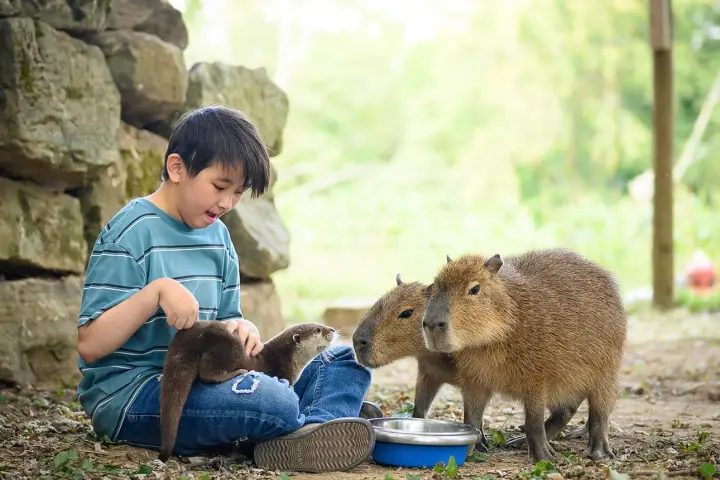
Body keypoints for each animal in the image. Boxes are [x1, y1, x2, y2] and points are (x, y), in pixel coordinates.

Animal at [158, 321, 337, 462]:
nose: (332, 329)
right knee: (208, 372)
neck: (285, 359)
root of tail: (195, 335)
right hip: (229, 346)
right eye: (318, 330)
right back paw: (237, 372)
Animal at [421, 248, 626, 462]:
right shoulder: (473, 380)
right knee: (566, 410)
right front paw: (476, 445)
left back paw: (598, 451)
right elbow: (471, 418)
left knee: (599, 414)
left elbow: (533, 421)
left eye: (475, 289)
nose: (432, 324)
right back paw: (517, 441)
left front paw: (544, 457)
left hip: (606, 373)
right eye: (435, 285)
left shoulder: (537, 380)